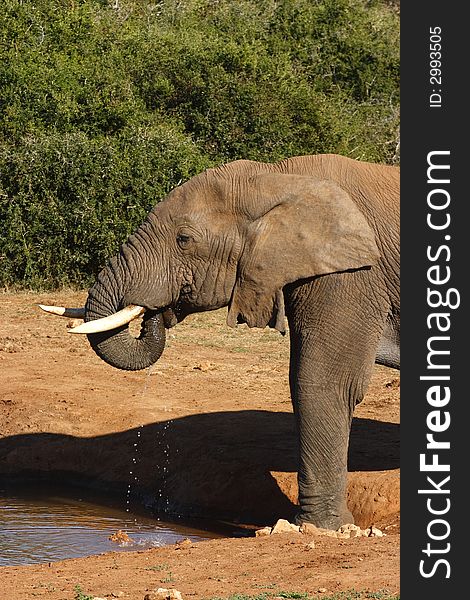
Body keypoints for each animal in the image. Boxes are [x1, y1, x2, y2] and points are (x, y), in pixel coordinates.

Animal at [42, 154, 398, 528]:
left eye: (184, 239)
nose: (157, 312)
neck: (278, 177)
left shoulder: (351, 275)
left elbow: (325, 382)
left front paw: (321, 528)